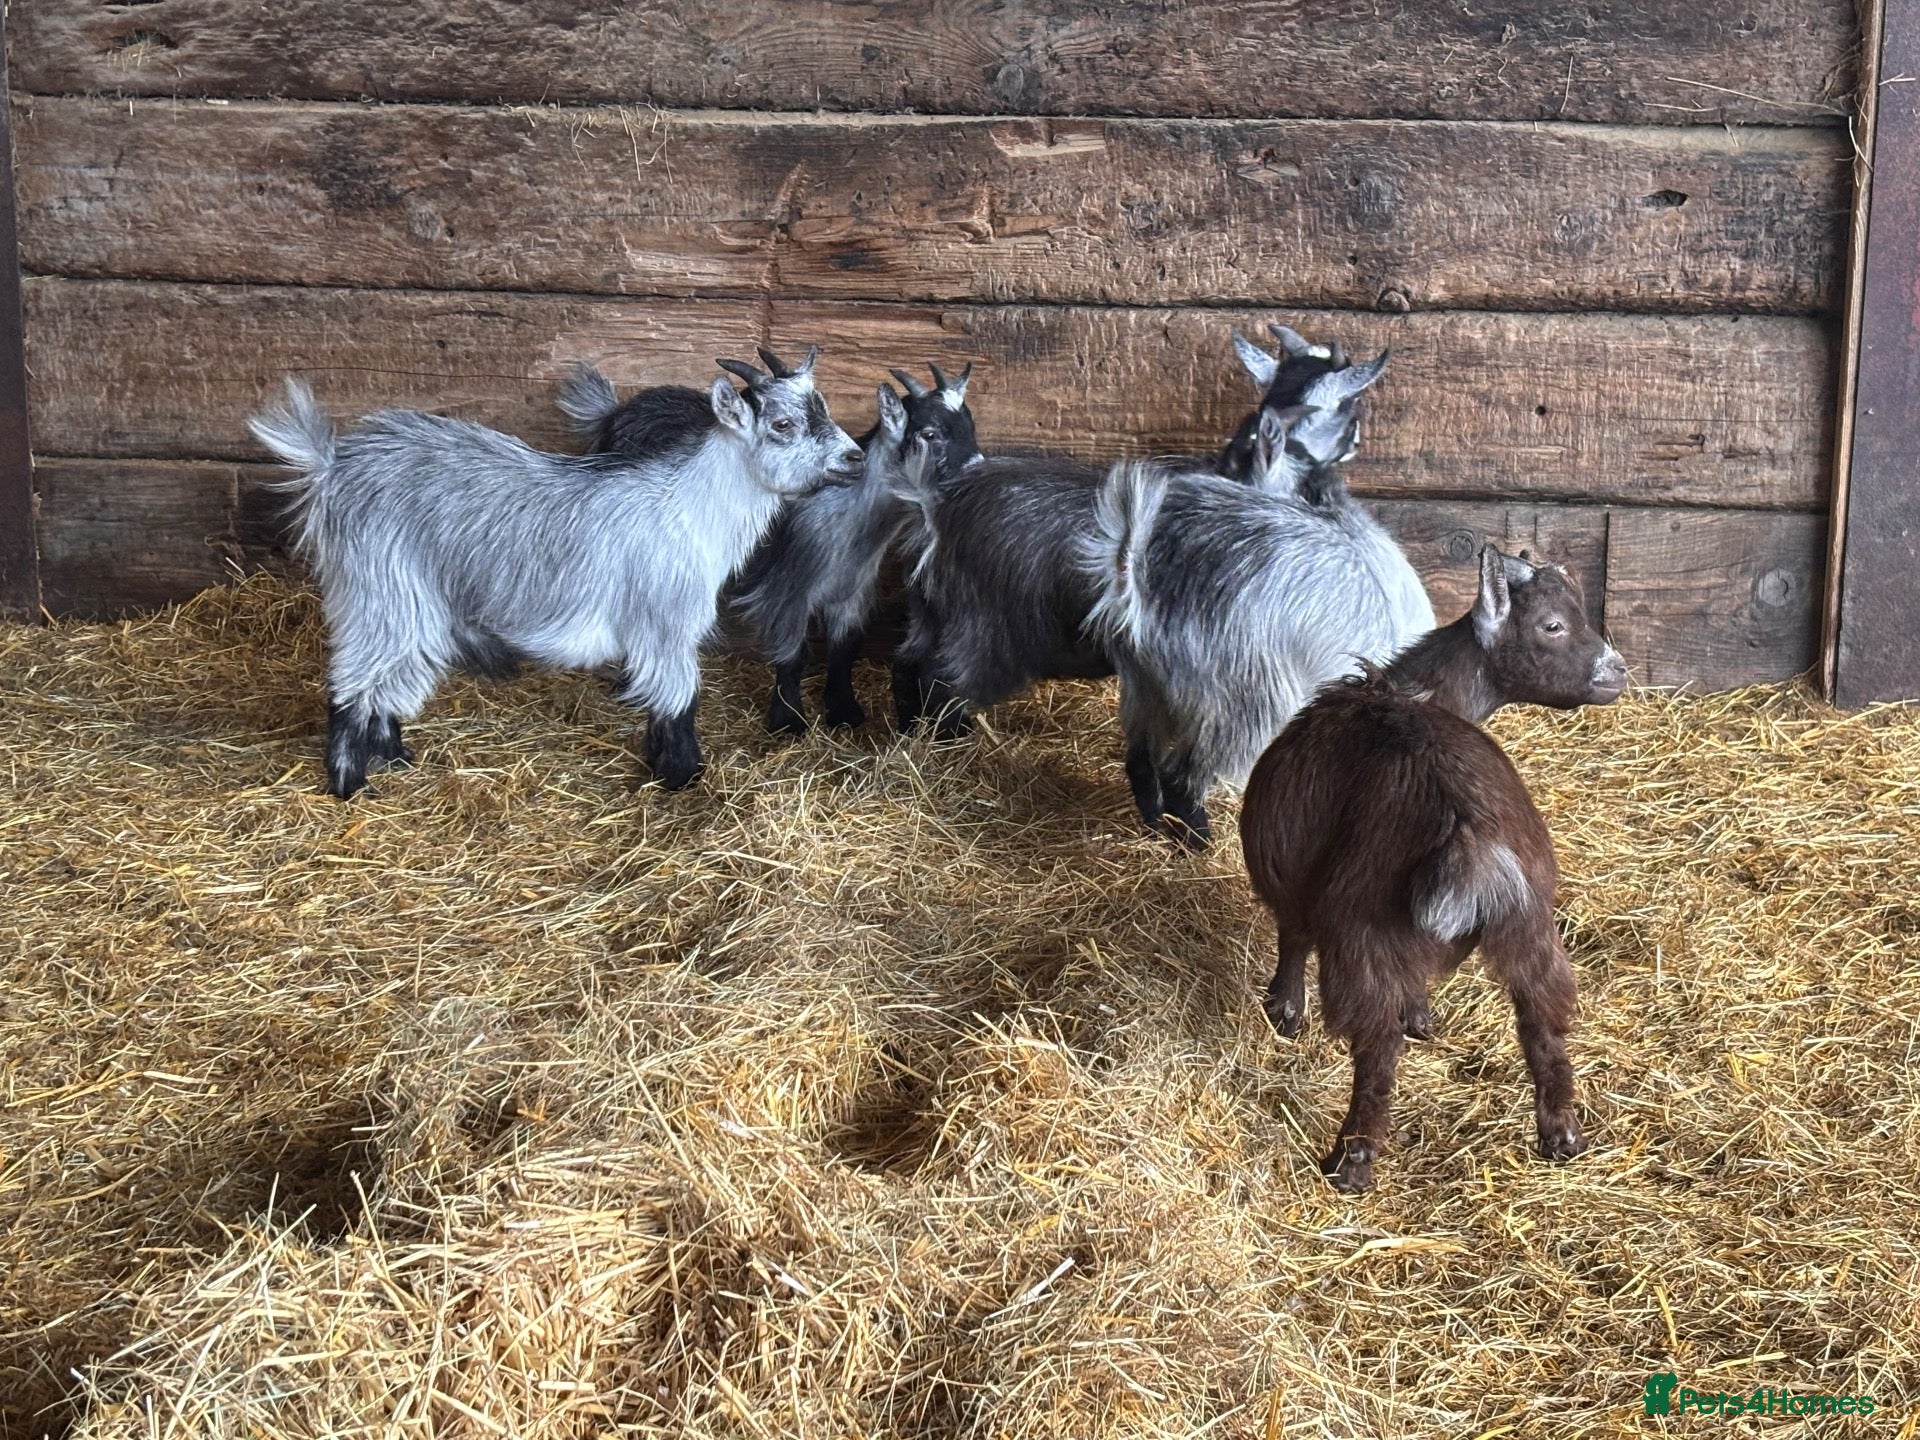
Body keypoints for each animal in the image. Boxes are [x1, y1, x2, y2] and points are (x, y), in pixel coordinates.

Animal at [248, 348, 864, 799]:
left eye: (824, 408)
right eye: (782, 423)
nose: (856, 458)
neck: (690, 507)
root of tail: (331, 467)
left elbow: (658, 700)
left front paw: (661, 764)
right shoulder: (666, 622)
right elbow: (679, 699)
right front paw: (684, 776)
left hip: (406, 599)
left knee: (391, 679)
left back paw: (394, 757)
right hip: (380, 589)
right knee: (351, 682)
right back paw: (350, 784)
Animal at [563, 360, 981, 734]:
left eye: (970, 426)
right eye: (930, 433)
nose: (977, 470)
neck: (848, 520)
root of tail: (614, 412)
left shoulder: (852, 591)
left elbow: (845, 648)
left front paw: (844, 710)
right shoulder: (786, 590)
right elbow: (793, 655)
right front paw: (788, 720)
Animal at [891, 335, 1384, 738]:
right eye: (1350, 406)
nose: (1360, 438)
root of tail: (936, 509)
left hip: (930, 612)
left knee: (908, 664)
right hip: (982, 629)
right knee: (940, 679)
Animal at [1083, 395, 1433, 848]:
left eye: (1233, 459)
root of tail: (1140, 572)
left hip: (1144, 682)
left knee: (1142, 760)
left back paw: (1157, 825)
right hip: (1246, 693)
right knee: (1183, 776)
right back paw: (1200, 842)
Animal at [1240, 545, 1628, 1191]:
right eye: (1553, 624)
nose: (1617, 672)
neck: (1412, 691)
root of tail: (1466, 840)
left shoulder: (1291, 870)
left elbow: (1291, 933)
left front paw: (1284, 1012)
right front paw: (1422, 1015)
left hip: (1363, 935)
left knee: (1376, 1048)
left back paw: (1351, 1161)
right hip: (1532, 926)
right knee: (1543, 1022)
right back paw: (1561, 1135)